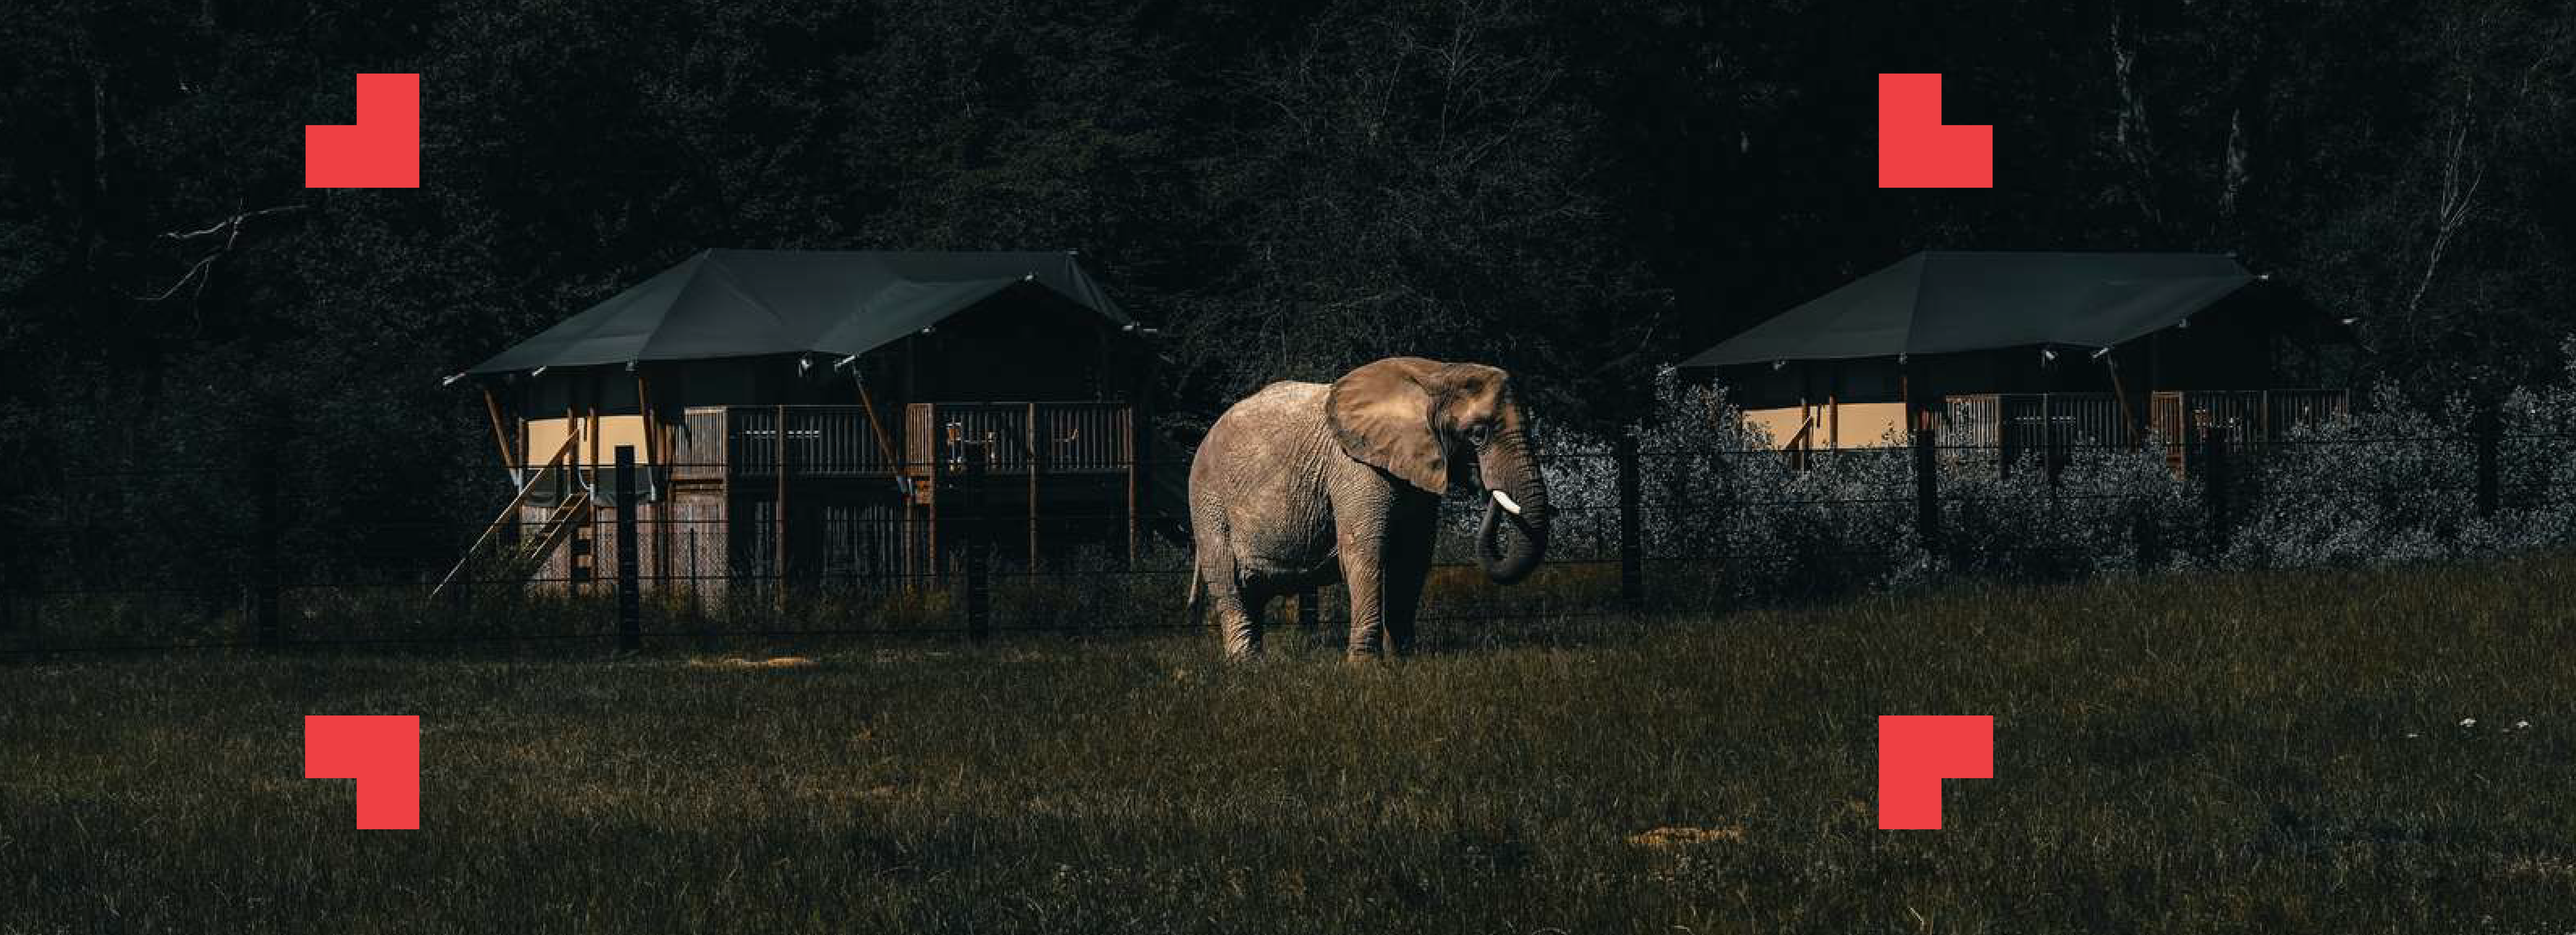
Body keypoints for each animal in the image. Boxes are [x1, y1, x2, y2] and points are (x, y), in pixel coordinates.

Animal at [1185, 357, 1552, 659]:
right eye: (1477, 434)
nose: (1487, 488)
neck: (1435, 374)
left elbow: (1413, 557)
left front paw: (1403, 661)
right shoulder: (1355, 468)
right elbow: (1365, 550)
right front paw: (1365, 666)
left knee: (1253, 593)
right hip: (1208, 501)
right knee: (1229, 583)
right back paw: (1247, 665)